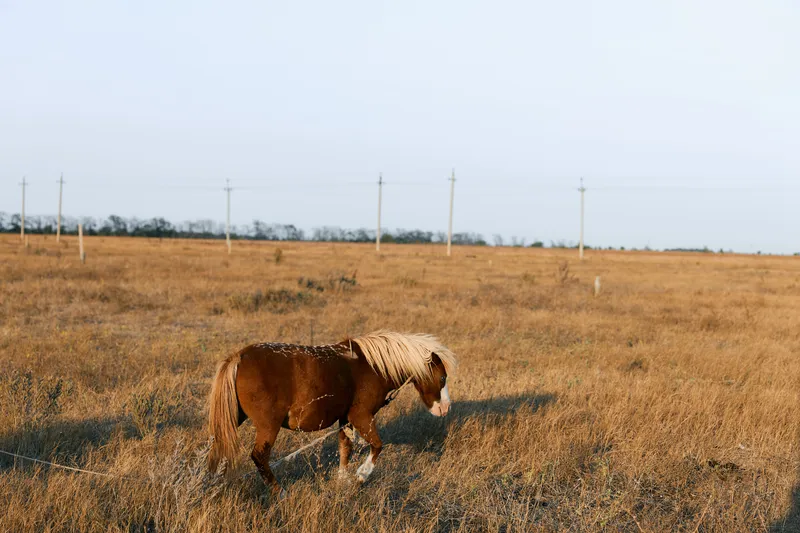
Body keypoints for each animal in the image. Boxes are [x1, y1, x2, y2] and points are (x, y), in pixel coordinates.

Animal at [207, 330, 457, 493]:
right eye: (442, 378)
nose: (445, 408)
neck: (372, 366)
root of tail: (239, 357)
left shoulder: (345, 419)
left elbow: (346, 447)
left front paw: (342, 479)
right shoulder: (361, 416)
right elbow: (377, 446)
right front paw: (361, 475)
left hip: (234, 417)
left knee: (220, 446)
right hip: (269, 425)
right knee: (259, 457)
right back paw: (280, 492)